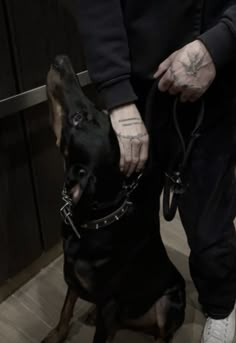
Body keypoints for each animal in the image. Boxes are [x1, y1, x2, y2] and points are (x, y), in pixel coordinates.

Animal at [42, 55, 186, 342]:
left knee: (163, 332)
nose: (61, 60)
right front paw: (56, 335)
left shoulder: (109, 303)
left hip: (171, 299)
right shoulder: (73, 278)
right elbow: (65, 309)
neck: (97, 219)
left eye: (77, 119)